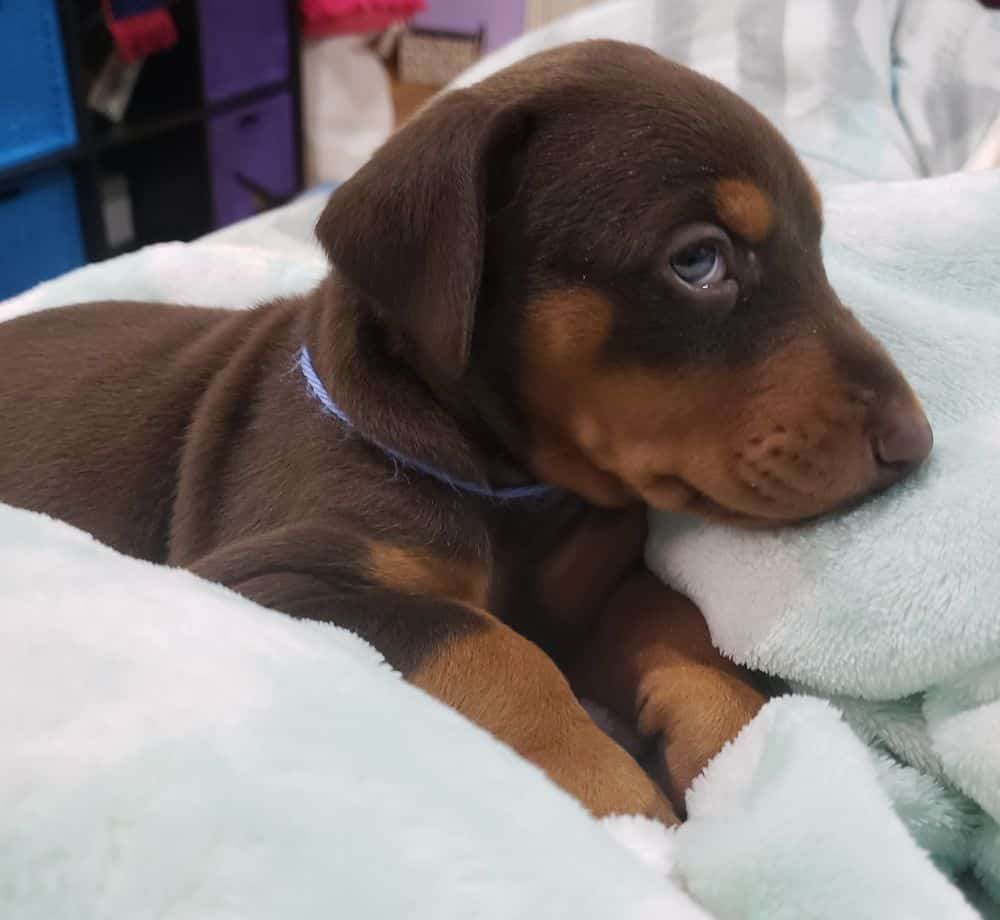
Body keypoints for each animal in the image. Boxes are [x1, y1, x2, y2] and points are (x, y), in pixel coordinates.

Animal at [0, 43, 928, 824]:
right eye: (698, 261)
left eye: (818, 247)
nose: (916, 444)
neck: (512, 488)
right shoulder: (262, 579)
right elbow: (492, 645)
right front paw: (617, 799)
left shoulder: (595, 589)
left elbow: (678, 624)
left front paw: (749, 752)